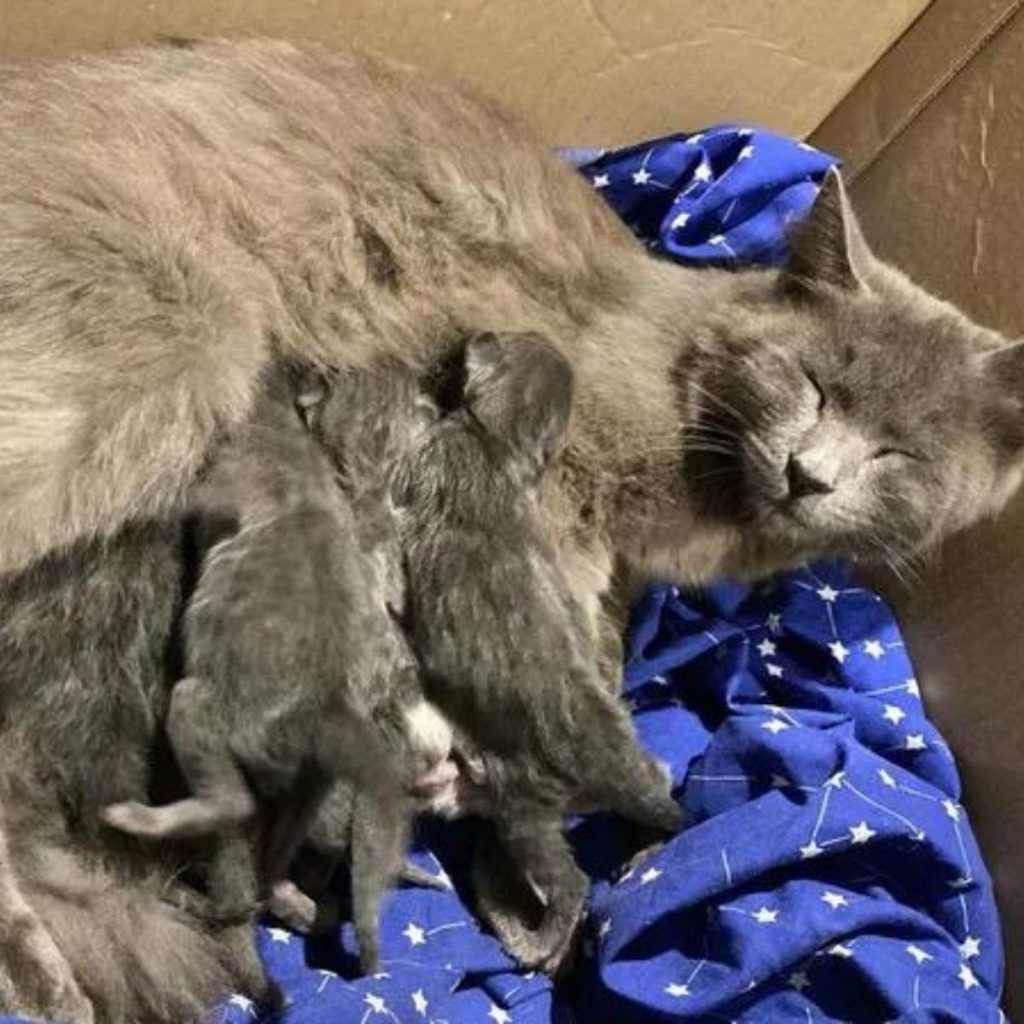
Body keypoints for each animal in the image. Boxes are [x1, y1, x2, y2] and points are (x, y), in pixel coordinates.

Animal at [395, 331, 684, 970]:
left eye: (498, 340)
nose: (474, 334)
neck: (499, 444)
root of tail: (614, 768)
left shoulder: (429, 456)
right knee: (664, 776)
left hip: (525, 804)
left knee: (568, 880)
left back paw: (540, 938)